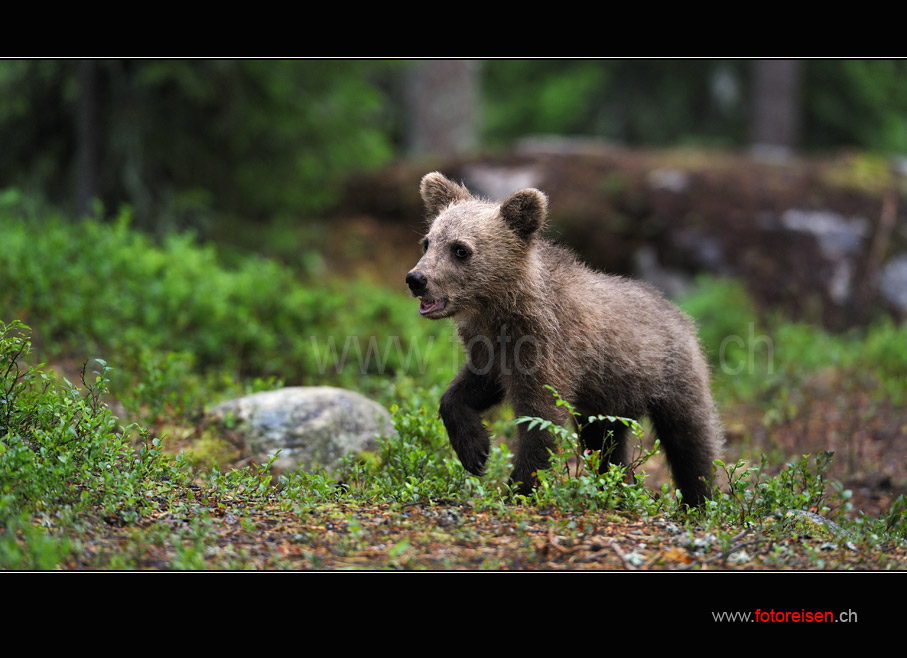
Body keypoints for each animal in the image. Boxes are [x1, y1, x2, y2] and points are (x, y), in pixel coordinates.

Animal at [404, 170, 724, 502]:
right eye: (427, 242)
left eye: (460, 249)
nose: (416, 279)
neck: (501, 309)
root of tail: (678, 313)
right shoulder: (492, 350)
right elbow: (465, 390)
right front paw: (475, 451)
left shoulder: (549, 347)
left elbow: (541, 418)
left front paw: (520, 487)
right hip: (608, 397)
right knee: (605, 442)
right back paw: (618, 486)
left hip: (672, 373)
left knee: (691, 438)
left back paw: (699, 498)